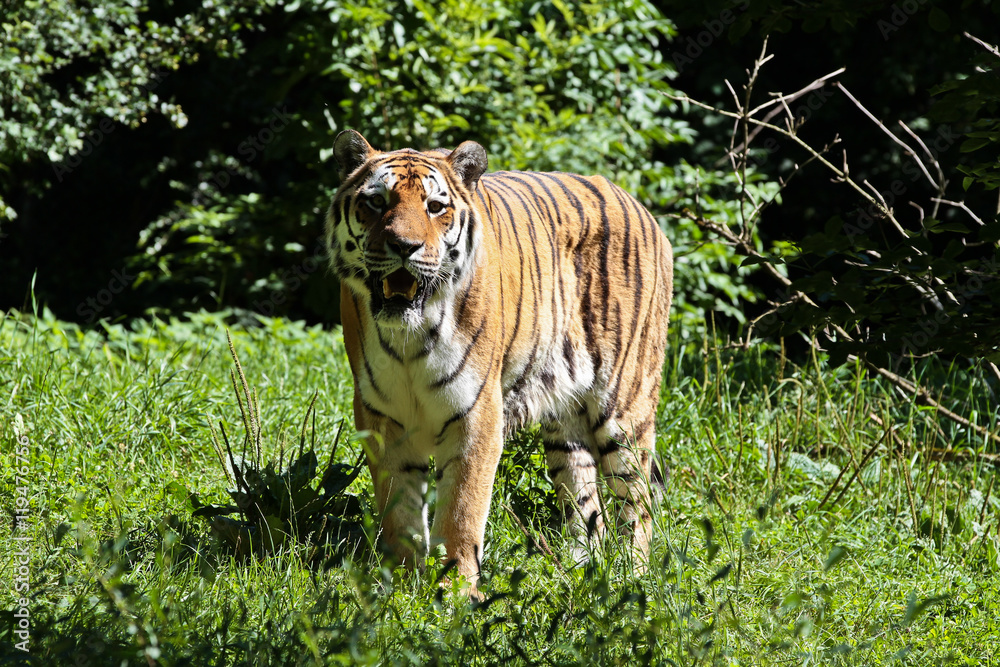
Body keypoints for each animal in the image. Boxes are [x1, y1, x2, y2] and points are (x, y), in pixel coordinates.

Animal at [325, 129, 673, 596]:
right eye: (377, 202)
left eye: (435, 207)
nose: (404, 247)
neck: (410, 336)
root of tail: (640, 207)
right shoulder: (382, 417)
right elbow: (399, 509)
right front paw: (401, 585)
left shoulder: (475, 415)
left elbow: (461, 509)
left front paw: (456, 592)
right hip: (564, 423)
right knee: (587, 508)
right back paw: (578, 573)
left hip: (624, 407)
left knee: (637, 505)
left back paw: (631, 581)